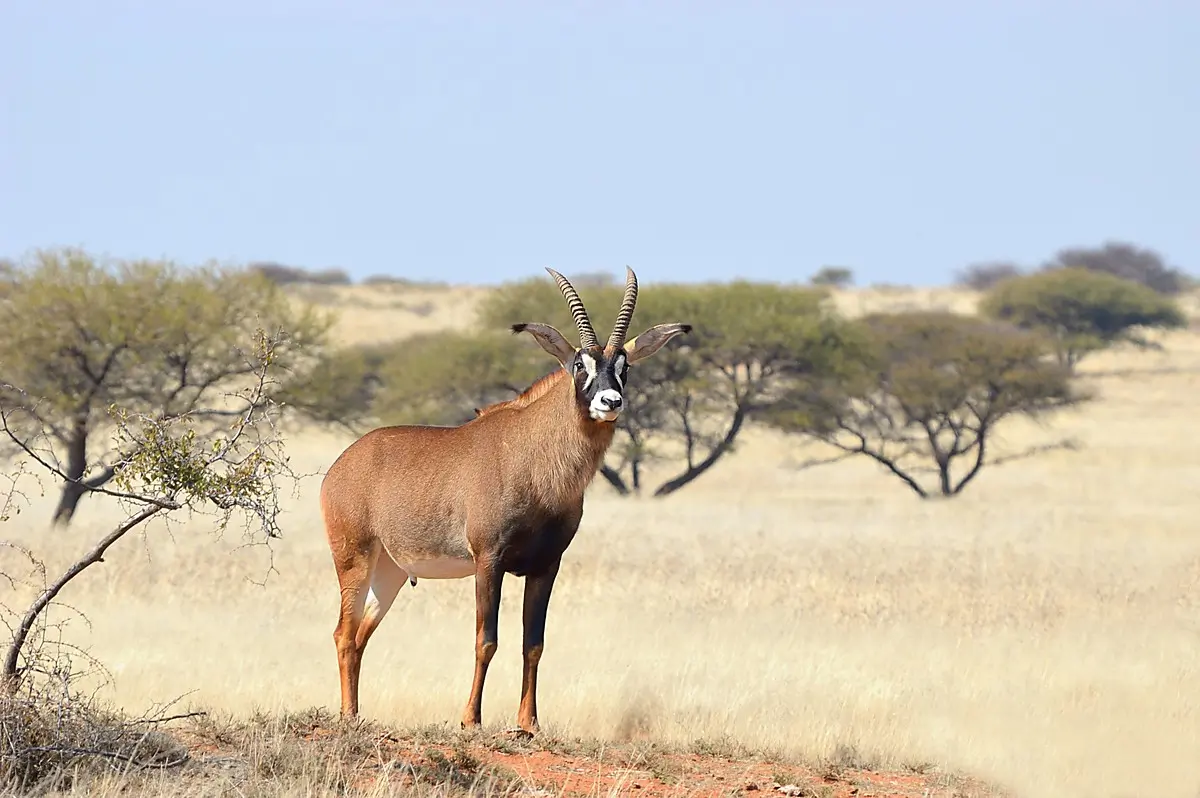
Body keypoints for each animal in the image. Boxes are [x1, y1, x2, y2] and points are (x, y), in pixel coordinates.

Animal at [321, 267, 696, 734]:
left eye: (624, 366)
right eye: (579, 364)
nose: (610, 402)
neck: (535, 458)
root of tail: (342, 464)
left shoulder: (546, 566)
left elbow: (533, 643)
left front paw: (529, 723)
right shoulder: (489, 560)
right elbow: (487, 640)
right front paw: (471, 719)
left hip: (389, 572)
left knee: (358, 636)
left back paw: (355, 714)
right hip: (353, 558)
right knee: (343, 632)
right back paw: (347, 715)